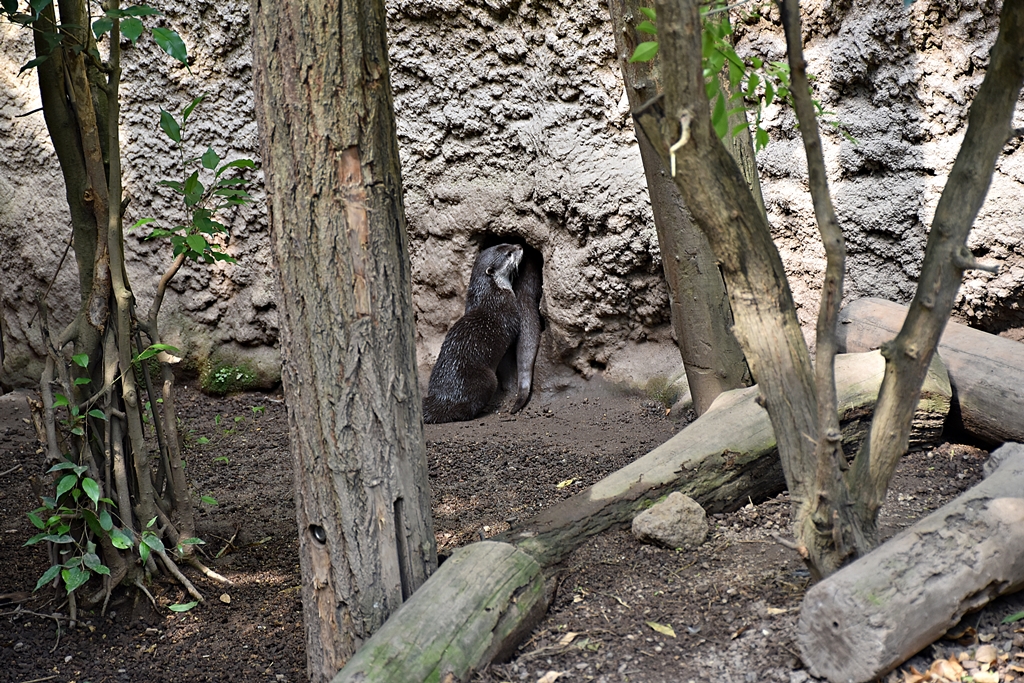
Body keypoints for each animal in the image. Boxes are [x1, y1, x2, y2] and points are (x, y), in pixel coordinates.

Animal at [423, 243, 524, 424]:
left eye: (505, 244)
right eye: (509, 254)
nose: (519, 246)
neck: (492, 292)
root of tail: (442, 398)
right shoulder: (506, 305)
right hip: (487, 379)